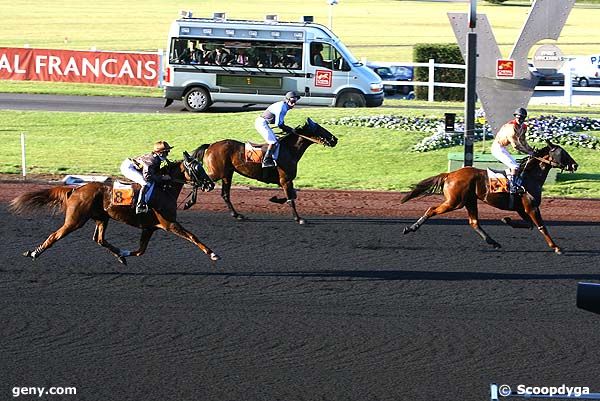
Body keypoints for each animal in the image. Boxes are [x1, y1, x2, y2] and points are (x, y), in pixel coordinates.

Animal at [8, 152, 220, 264]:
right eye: (198, 168)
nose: (210, 184)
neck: (164, 188)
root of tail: (76, 189)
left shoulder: (149, 227)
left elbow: (141, 250)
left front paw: (124, 254)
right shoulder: (169, 223)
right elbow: (192, 236)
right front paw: (212, 253)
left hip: (102, 218)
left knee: (99, 239)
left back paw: (119, 255)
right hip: (75, 220)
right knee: (55, 235)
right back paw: (34, 252)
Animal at [191, 117, 338, 223]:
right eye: (319, 128)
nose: (334, 139)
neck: (289, 150)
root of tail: (210, 145)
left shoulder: (285, 181)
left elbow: (292, 195)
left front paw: (275, 199)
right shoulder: (285, 180)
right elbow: (291, 198)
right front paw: (299, 218)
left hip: (227, 174)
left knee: (225, 194)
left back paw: (237, 215)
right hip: (217, 173)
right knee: (198, 180)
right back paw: (190, 201)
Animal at [400, 141, 580, 253]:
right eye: (563, 153)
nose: (575, 164)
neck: (530, 177)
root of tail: (450, 174)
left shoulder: (522, 209)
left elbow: (529, 225)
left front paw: (506, 220)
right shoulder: (531, 207)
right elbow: (542, 226)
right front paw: (556, 247)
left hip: (470, 201)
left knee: (474, 222)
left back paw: (493, 242)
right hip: (455, 202)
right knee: (431, 209)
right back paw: (410, 228)